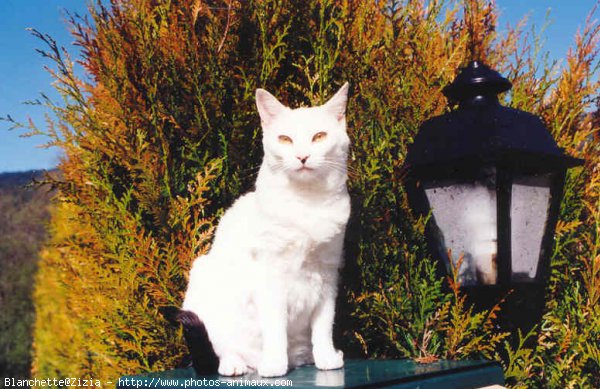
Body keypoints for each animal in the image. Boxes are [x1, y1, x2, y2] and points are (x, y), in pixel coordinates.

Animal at [183, 82, 352, 376]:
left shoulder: (328, 274)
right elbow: (275, 328)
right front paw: (274, 364)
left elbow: (323, 326)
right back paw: (236, 363)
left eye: (319, 136)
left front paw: (326, 358)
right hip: (203, 280)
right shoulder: (271, 277)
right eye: (285, 139)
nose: (302, 156)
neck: (307, 203)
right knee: (220, 347)